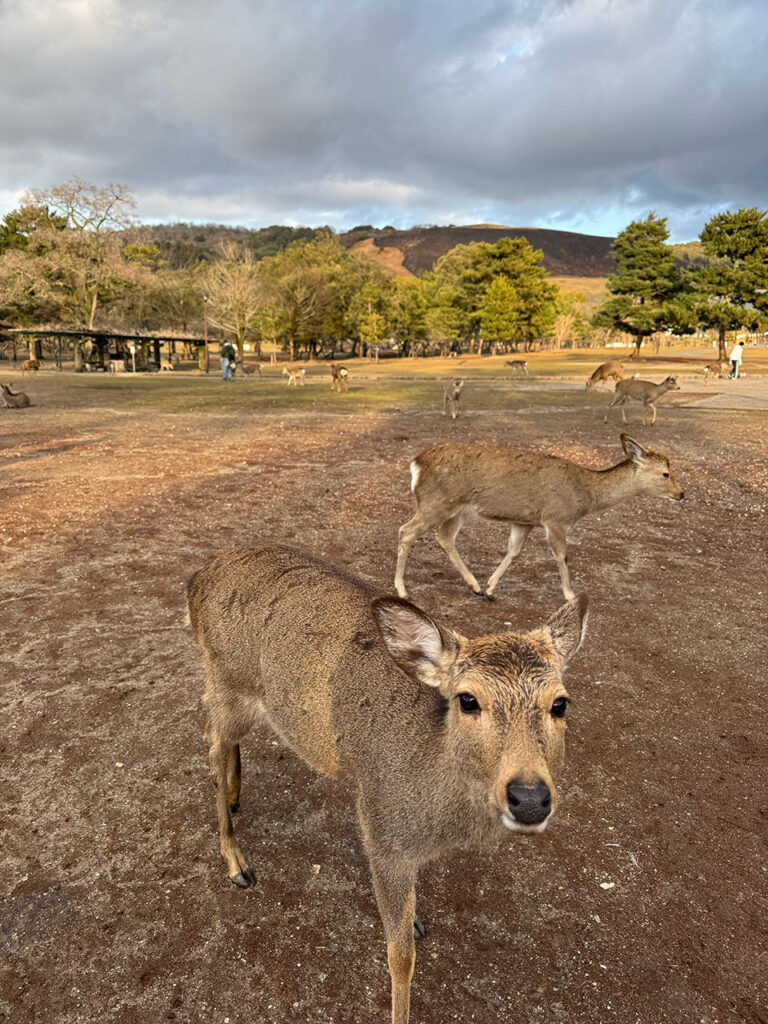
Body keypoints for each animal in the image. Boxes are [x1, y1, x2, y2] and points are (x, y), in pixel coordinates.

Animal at [188, 544, 589, 1024]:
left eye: (560, 703)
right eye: (467, 699)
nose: (529, 799)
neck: (435, 824)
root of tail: (196, 581)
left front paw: (415, 919)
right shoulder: (382, 832)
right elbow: (400, 958)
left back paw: (234, 797)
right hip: (227, 681)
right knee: (210, 739)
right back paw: (236, 861)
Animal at [394, 434, 683, 603]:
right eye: (666, 473)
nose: (681, 493)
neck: (584, 495)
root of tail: (416, 464)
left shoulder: (525, 521)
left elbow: (514, 552)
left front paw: (490, 588)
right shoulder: (555, 518)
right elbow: (562, 555)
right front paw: (570, 595)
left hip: (456, 510)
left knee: (444, 537)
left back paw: (474, 586)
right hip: (436, 503)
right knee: (406, 530)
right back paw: (402, 590)